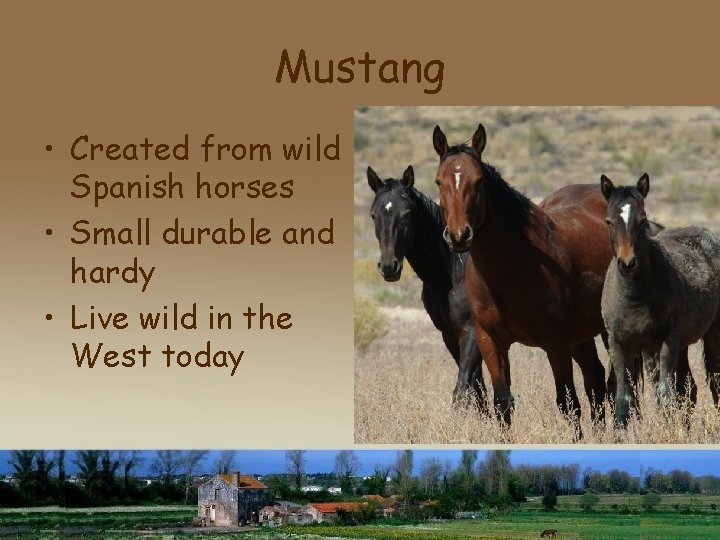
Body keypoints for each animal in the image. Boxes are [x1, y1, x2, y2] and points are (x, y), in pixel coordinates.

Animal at [367, 165, 486, 410]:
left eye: (406, 213)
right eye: (374, 215)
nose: (389, 267)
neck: (453, 273)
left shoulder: (471, 332)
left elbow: (462, 390)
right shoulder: (449, 335)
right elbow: (477, 391)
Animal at [432, 123, 610, 427]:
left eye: (479, 181)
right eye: (438, 182)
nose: (458, 236)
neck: (511, 266)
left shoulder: (555, 343)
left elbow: (568, 403)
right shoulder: (491, 341)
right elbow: (502, 404)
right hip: (582, 335)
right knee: (596, 381)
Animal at [600, 173, 720, 425]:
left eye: (643, 219)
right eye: (608, 221)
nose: (627, 264)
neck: (635, 297)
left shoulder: (667, 341)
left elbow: (666, 395)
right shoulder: (619, 344)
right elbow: (624, 400)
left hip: (712, 332)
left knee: (715, 382)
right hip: (675, 346)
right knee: (689, 391)